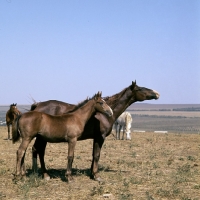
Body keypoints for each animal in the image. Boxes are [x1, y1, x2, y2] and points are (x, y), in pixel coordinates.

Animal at [30, 80, 159, 181]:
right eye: (140, 88)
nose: (157, 93)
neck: (104, 114)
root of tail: (38, 105)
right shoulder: (100, 137)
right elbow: (97, 155)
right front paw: (96, 175)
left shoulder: (95, 138)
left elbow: (93, 155)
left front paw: (92, 173)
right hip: (42, 138)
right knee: (39, 151)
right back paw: (45, 174)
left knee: (36, 150)